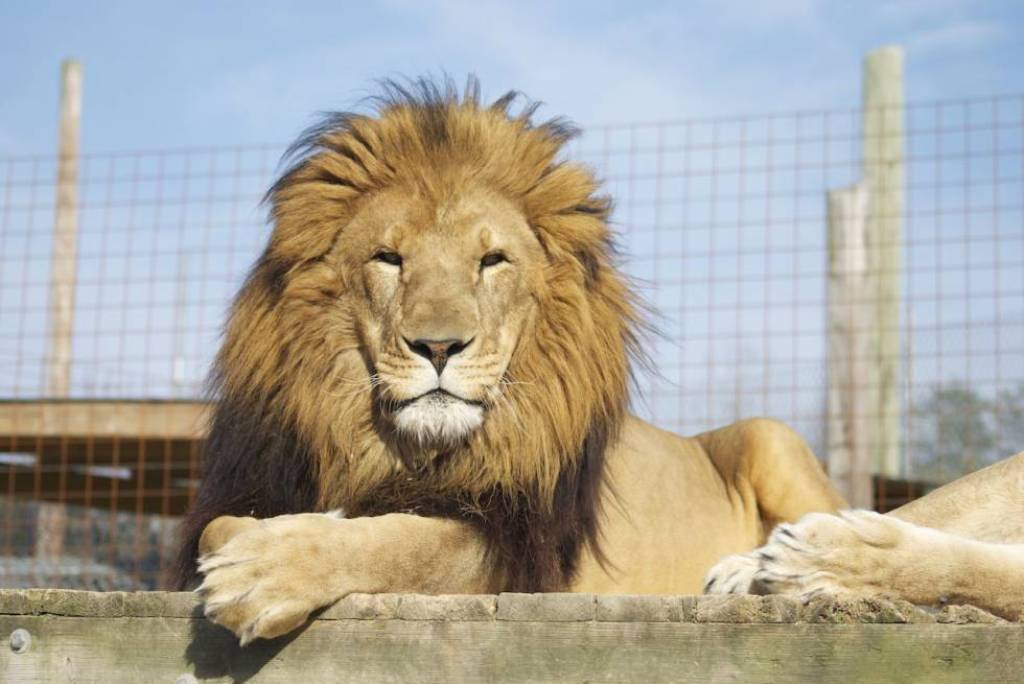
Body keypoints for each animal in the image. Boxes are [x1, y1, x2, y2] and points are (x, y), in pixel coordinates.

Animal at [172, 77, 1019, 643]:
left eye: (492, 262)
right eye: (389, 258)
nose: (439, 346)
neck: (399, 449)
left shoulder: (515, 544)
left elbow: (408, 542)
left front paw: (264, 572)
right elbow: (227, 528)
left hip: (772, 438)